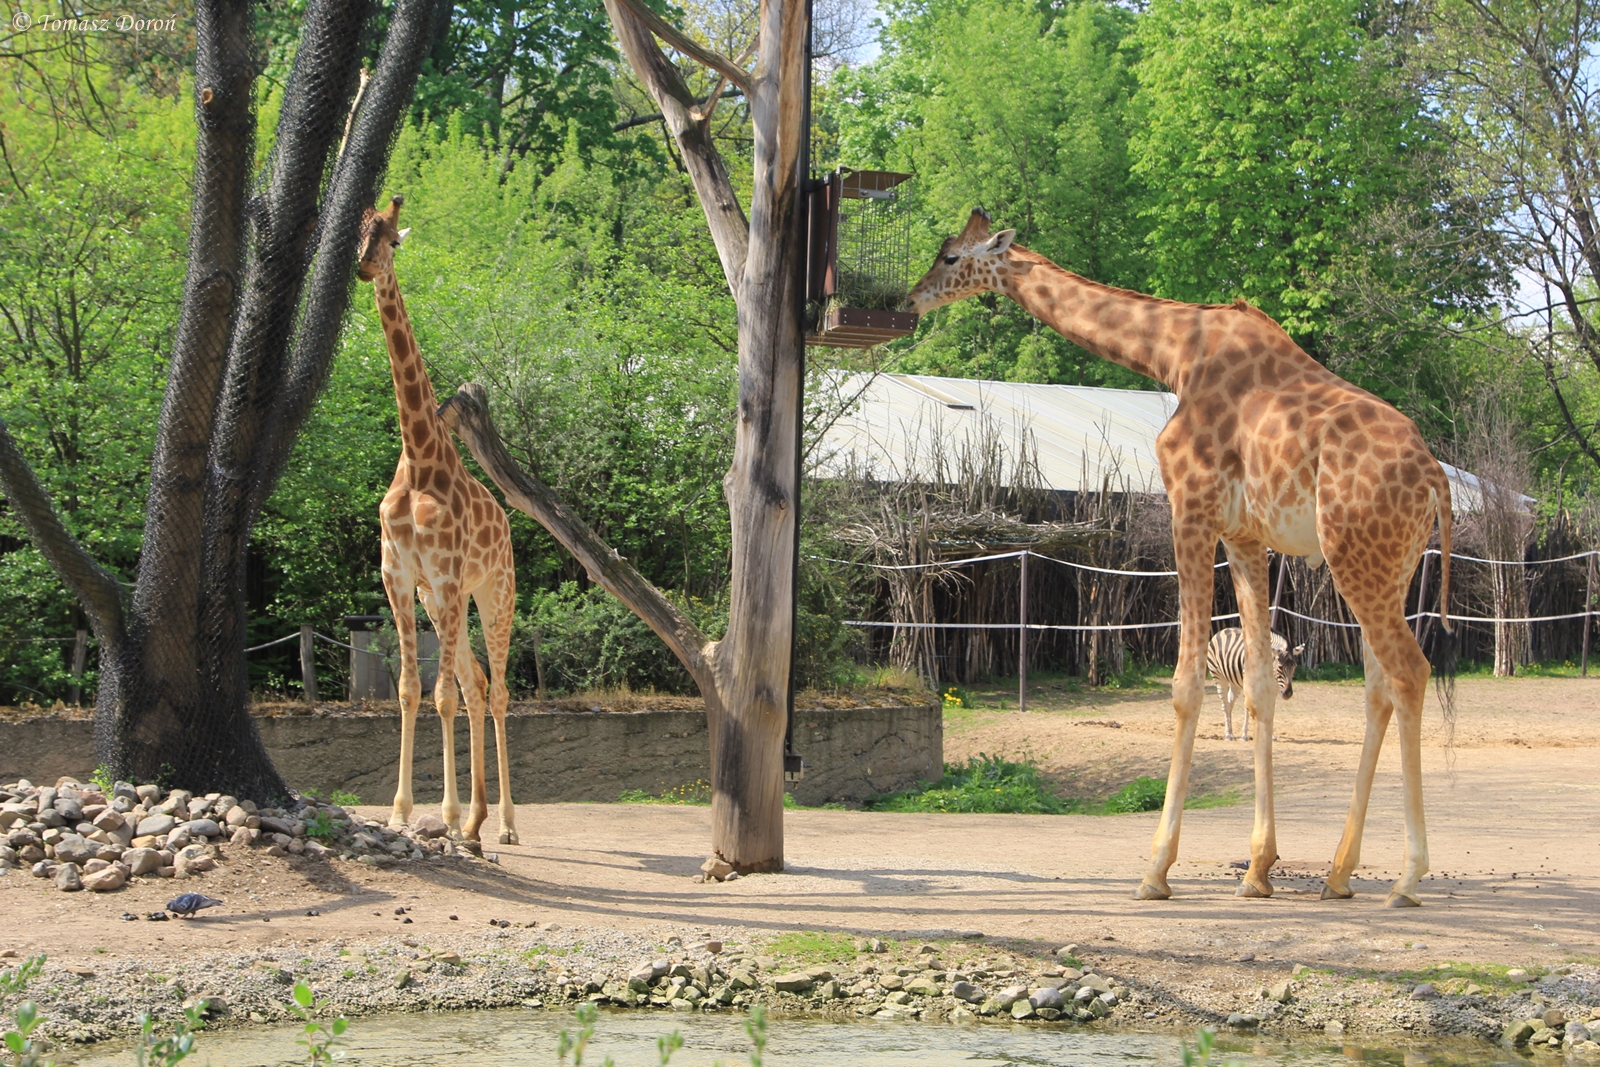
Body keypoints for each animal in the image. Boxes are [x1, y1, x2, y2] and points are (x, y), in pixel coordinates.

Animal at [356, 195, 520, 845]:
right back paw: (476, 822)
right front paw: (402, 812)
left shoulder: (447, 577)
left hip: (494, 592)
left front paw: (444, 817)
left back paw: (503, 826)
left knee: (497, 690)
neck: (421, 459)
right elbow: (407, 691)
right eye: (357, 233)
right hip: (445, 600)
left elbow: (441, 695)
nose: (363, 267)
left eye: (393, 240)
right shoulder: (401, 579)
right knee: (477, 686)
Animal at [908, 210, 1455, 907]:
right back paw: (1338, 874)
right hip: (1391, 565)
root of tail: (1436, 479)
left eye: (950, 256)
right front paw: (1258, 870)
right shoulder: (1244, 535)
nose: (913, 299)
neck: (1173, 355)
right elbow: (1260, 688)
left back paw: (1407, 878)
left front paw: (1156, 870)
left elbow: (1185, 686)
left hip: (1357, 556)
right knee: (1380, 684)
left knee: (1410, 672)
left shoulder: (1189, 508)